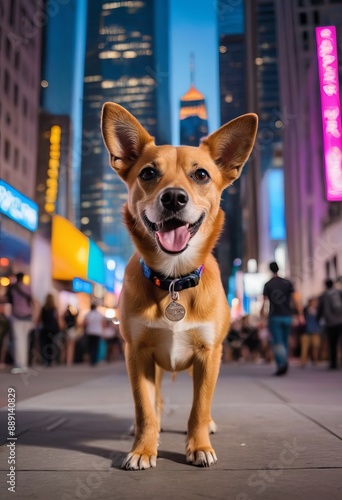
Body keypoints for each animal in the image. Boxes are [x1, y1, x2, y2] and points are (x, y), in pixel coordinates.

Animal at [101, 103, 256, 470]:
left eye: (201, 175)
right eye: (147, 173)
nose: (173, 197)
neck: (173, 279)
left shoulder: (209, 355)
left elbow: (199, 406)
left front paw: (198, 445)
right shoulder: (137, 354)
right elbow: (144, 407)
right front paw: (144, 448)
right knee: (154, 400)